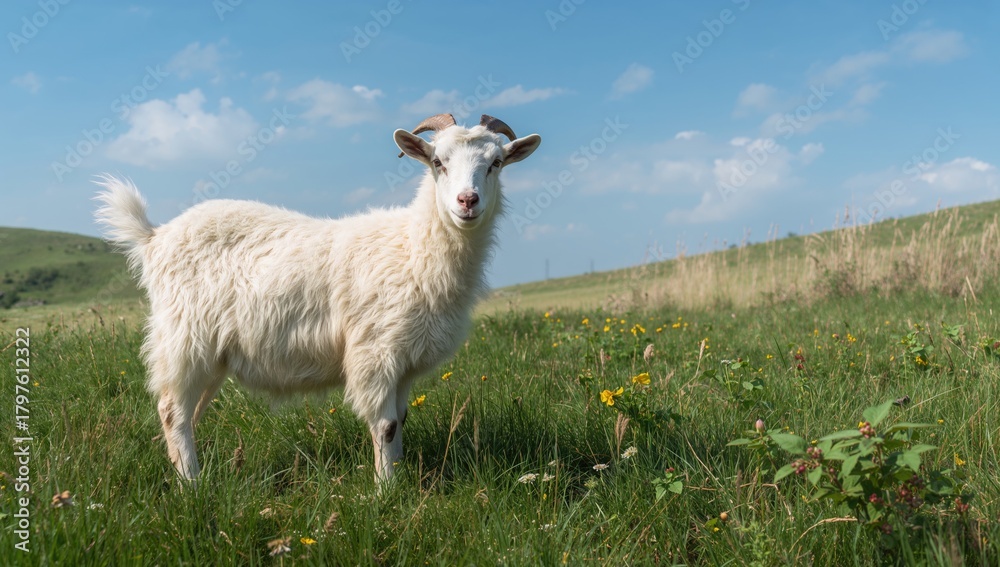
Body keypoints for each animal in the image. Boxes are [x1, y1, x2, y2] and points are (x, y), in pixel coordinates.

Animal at [94, 114, 541, 482]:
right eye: (438, 162)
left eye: (495, 163)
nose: (468, 201)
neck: (412, 247)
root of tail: (154, 238)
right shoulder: (375, 352)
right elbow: (385, 427)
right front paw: (385, 492)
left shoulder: (403, 363)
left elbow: (401, 420)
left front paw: (396, 476)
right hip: (184, 337)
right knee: (173, 411)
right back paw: (193, 485)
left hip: (209, 353)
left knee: (186, 414)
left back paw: (183, 472)